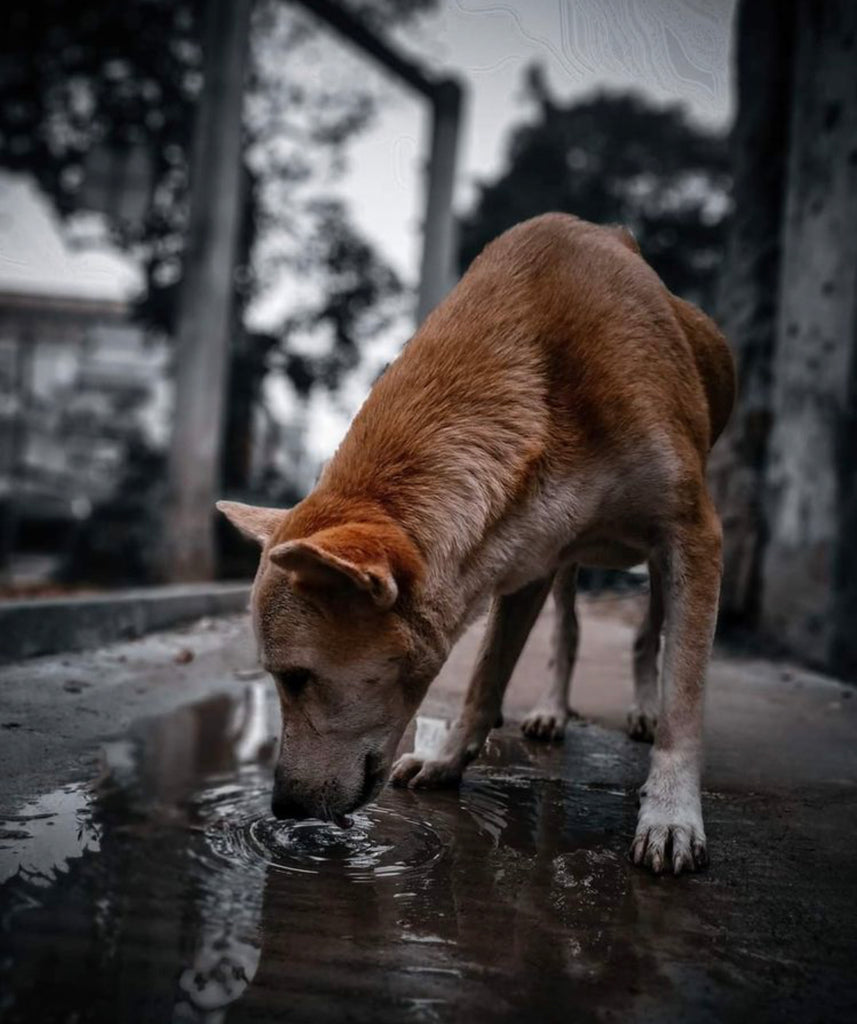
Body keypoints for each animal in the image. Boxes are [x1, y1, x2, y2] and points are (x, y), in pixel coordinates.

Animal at [217, 211, 733, 876]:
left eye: (297, 678)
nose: (283, 809)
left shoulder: (691, 534)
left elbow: (684, 695)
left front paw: (670, 810)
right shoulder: (532, 553)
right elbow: (486, 677)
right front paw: (449, 759)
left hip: (652, 557)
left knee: (649, 633)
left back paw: (641, 708)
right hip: (566, 563)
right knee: (567, 632)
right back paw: (551, 708)